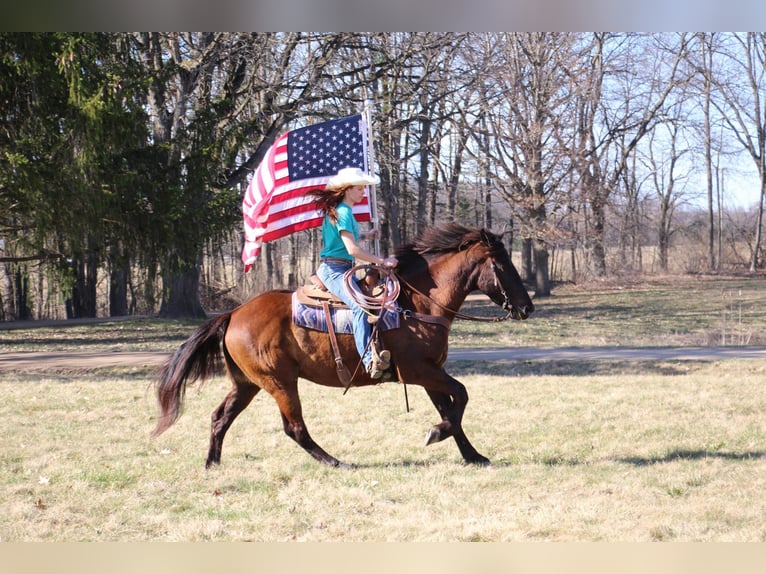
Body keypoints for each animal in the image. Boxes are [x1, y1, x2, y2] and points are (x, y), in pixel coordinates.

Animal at [150, 223, 536, 470]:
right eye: (501, 263)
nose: (527, 307)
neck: (417, 303)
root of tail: (232, 314)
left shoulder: (430, 373)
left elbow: (451, 408)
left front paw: (471, 454)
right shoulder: (418, 370)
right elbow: (462, 396)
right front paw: (437, 433)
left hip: (247, 384)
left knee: (220, 417)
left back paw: (212, 464)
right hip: (279, 382)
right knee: (294, 428)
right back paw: (336, 461)